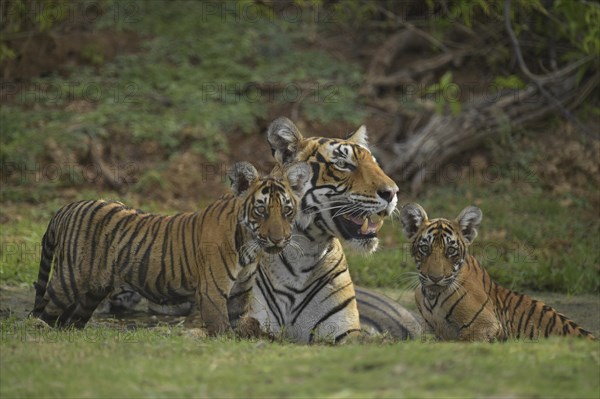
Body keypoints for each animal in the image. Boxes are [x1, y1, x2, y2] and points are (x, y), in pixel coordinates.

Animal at [31, 162, 310, 334]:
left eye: (287, 210)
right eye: (261, 210)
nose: (279, 239)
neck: (249, 246)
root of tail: (67, 207)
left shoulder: (240, 292)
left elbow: (239, 323)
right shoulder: (213, 291)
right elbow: (221, 328)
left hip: (92, 291)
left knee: (70, 321)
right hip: (69, 280)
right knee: (43, 310)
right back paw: (38, 332)